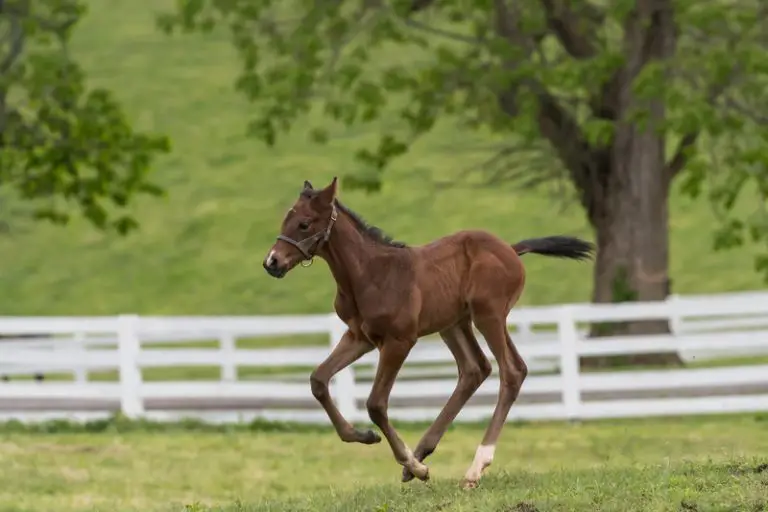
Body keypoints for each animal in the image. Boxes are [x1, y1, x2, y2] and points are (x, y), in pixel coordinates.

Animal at [263, 177, 594, 488]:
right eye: (285, 220)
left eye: (304, 224)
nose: (272, 262)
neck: (368, 274)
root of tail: (511, 250)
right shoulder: (359, 337)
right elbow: (318, 380)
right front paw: (365, 436)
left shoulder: (399, 341)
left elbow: (375, 404)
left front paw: (415, 466)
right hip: (454, 323)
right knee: (475, 369)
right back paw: (424, 451)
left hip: (489, 315)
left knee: (512, 370)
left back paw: (473, 467)